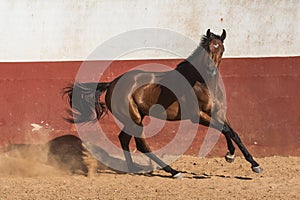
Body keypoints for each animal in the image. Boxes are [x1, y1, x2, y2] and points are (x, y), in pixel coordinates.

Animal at [63, 28, 262, 177]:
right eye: (207, 48)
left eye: (221, 49)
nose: (212, 70)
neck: (203, 83)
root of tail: (111, 83)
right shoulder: (197, 115)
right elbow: (226, 130)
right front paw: (232, 156)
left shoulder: (218, 112)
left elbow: (233, 133)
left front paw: (251, 163)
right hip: (134, 119)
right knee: (141, 144)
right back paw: (172, 171)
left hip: (135, 118)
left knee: (124, 139)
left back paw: (133, 169)